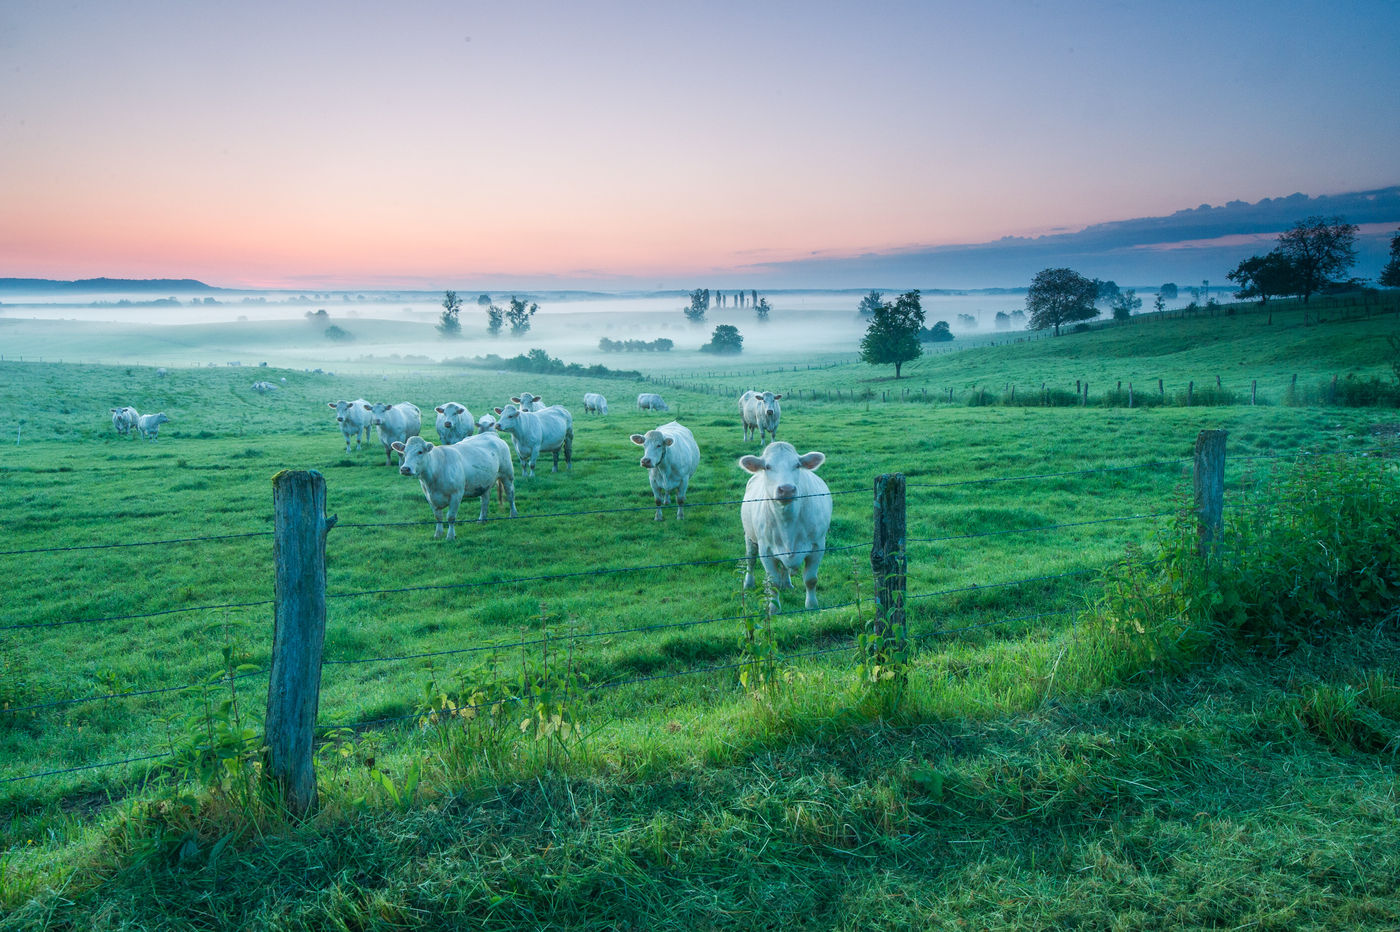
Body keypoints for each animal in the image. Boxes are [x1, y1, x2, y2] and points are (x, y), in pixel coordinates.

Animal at [733, 442, 828, 610]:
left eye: (797, 465)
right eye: (767, 466)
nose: (787, 489)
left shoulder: (818, 546)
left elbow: (810, 579)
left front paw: (812, 605)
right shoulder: (765, 550)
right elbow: (773, 582)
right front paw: (774, 608)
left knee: (784, 566)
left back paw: (787, 584)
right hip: (749, 536)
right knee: (751, 560)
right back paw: (748, 583)